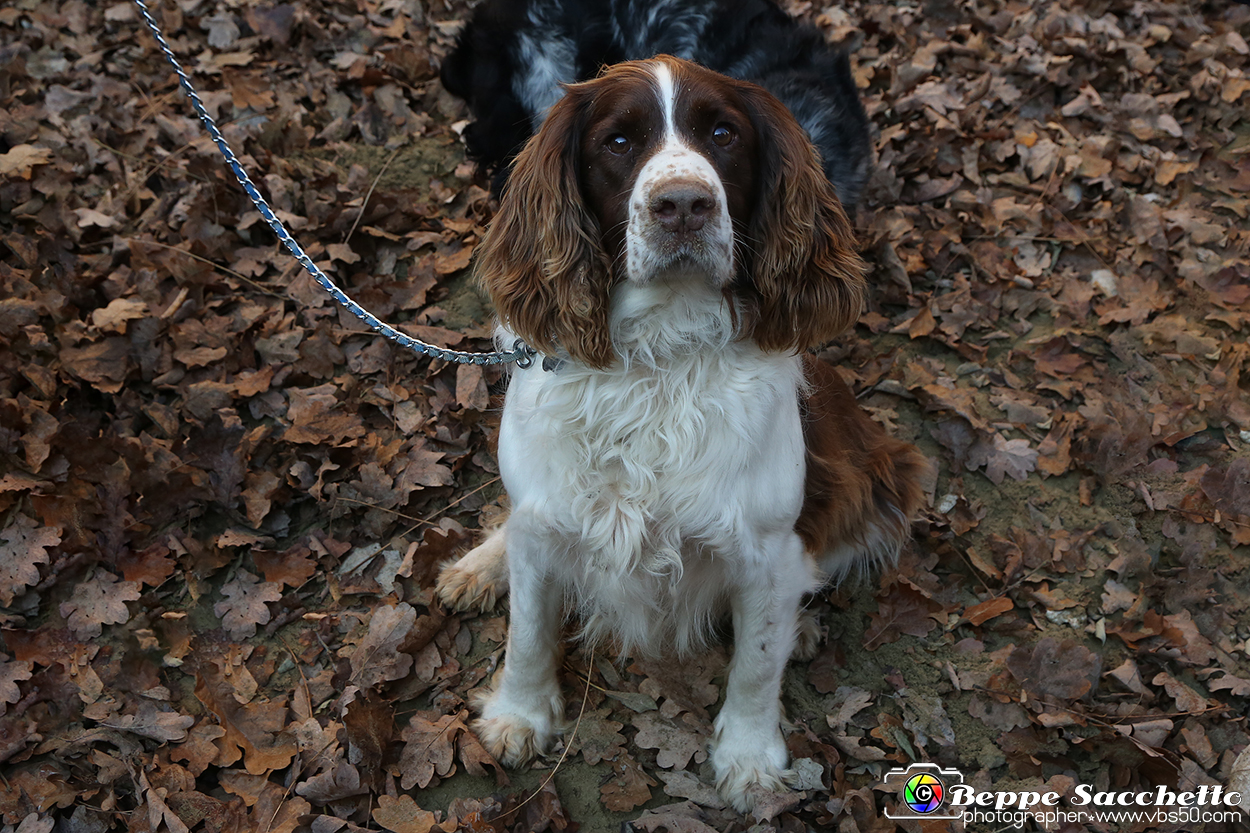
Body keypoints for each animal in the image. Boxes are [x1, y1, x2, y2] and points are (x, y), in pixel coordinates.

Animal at [435, 55, 925, 805]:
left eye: (723, 134)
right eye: (617, 141)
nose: (684, 205)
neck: (657, 354)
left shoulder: (764, 547)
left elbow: (756, 662)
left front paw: (749, 759)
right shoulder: (546, 516)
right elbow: (529, 627)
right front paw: (519, 714)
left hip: (877, 474)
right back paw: (479, 565)